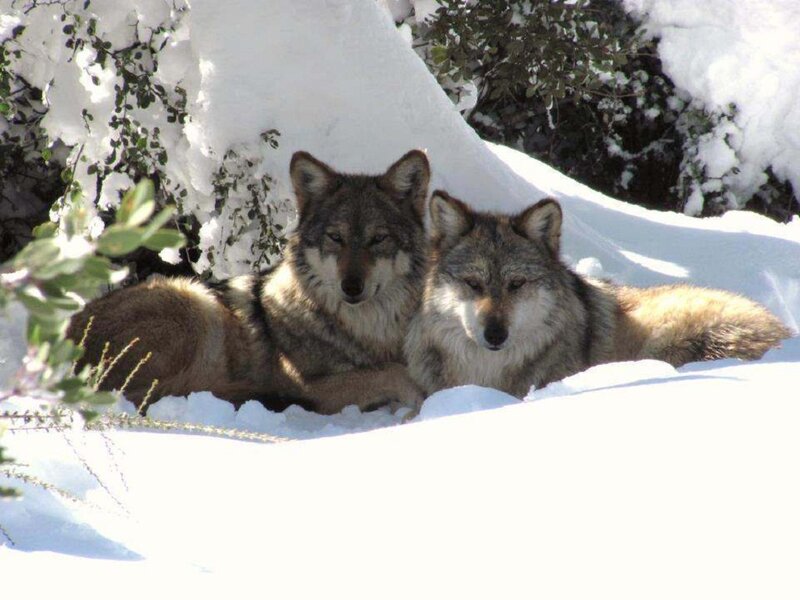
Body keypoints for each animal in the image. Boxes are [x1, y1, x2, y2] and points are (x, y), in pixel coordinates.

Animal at [68, 150, 431, 414]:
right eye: (335, 238)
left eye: (378, 239)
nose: (351, 287)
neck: (368, 332)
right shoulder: (308, 386)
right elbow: (395, 374)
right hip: (195, 304)